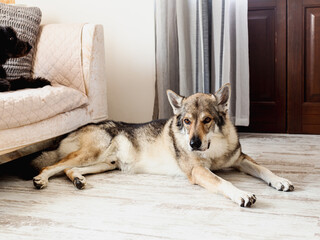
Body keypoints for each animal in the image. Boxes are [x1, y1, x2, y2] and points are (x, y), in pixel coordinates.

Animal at [31, 84, 294, 206]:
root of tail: (72, 131)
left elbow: (264, 170)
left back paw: (77, 180)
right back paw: (41, 179)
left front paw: (280, 180)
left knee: (68, 169)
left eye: (206, 120)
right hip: (92, 154)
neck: (214, 148)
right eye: (187, 121)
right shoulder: (197, 171)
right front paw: (241, 194)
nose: (193, 143)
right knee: (51, 166)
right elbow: (224, 182)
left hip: (106, 163)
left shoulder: (240, 160)